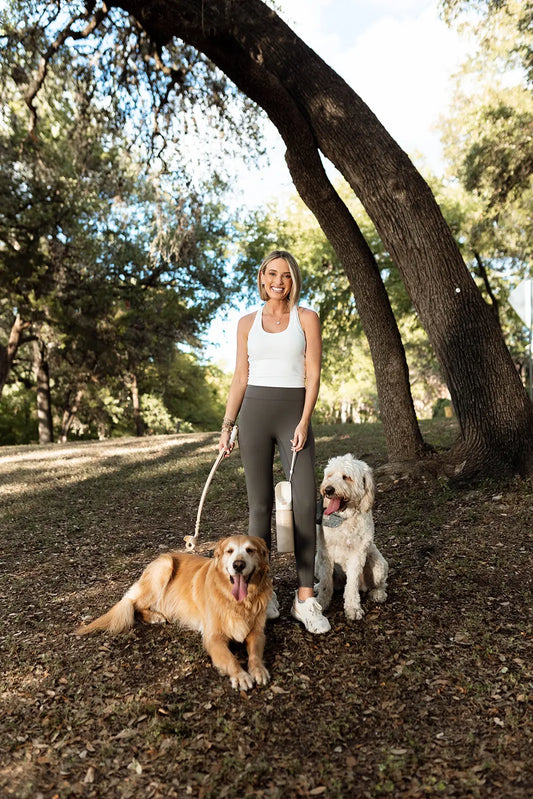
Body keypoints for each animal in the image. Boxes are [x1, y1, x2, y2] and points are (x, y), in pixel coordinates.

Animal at [316, 454, 386, 620]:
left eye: (346, 477)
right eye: (329, 475)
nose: (328, 490)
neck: (344, 519)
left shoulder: (357, 554)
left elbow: (352, 584)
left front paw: (353, 608)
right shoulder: (324, 553)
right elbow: (325, 583)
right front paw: (320, 603)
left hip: (379, 566)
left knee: (380, 585)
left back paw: (378, 593)